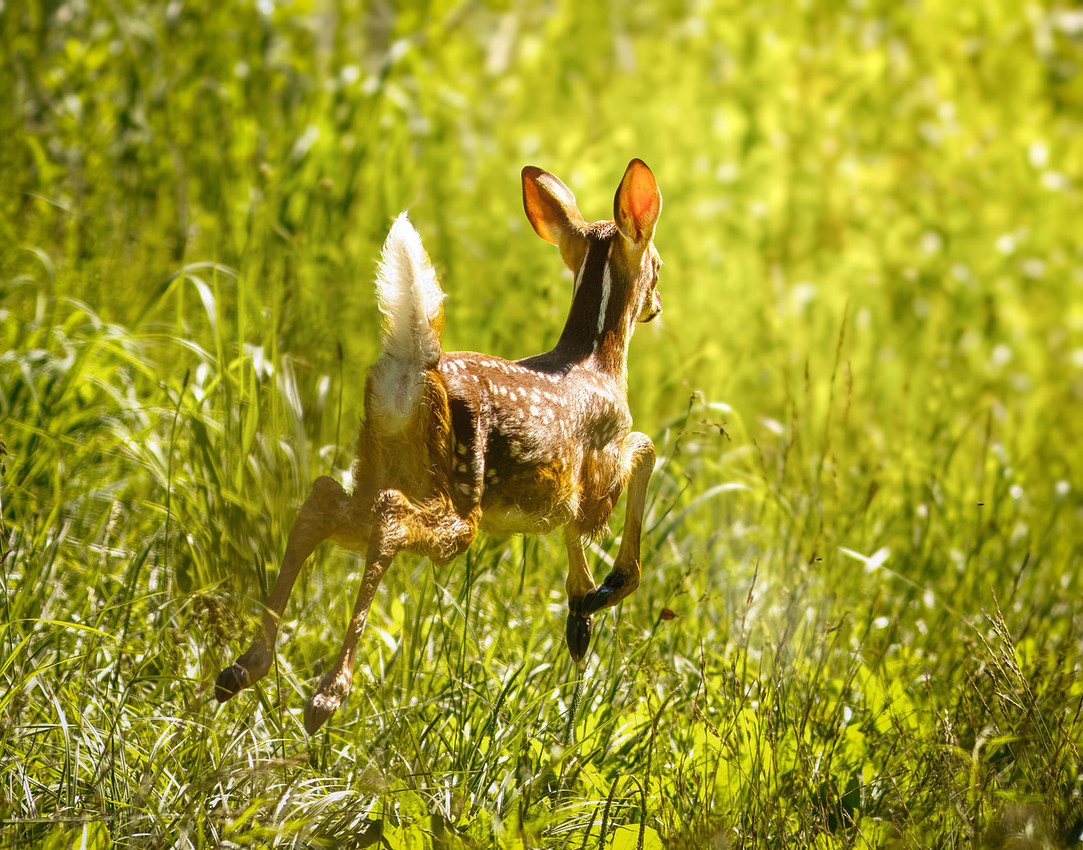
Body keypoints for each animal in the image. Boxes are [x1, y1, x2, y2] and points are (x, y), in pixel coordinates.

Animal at [215, 159, 663, 734]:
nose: (656, 305)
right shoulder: (599, 474)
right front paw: (610, 587)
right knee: (389, 517)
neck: (597, 360)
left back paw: (241, 670)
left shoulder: (565, 496)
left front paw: (580, 613)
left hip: (384, 466)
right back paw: (325, 697)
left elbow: (573, 532)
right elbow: (645, 449)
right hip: (458, 499)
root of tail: (410, 372)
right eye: (658, 263)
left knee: (321, 501)